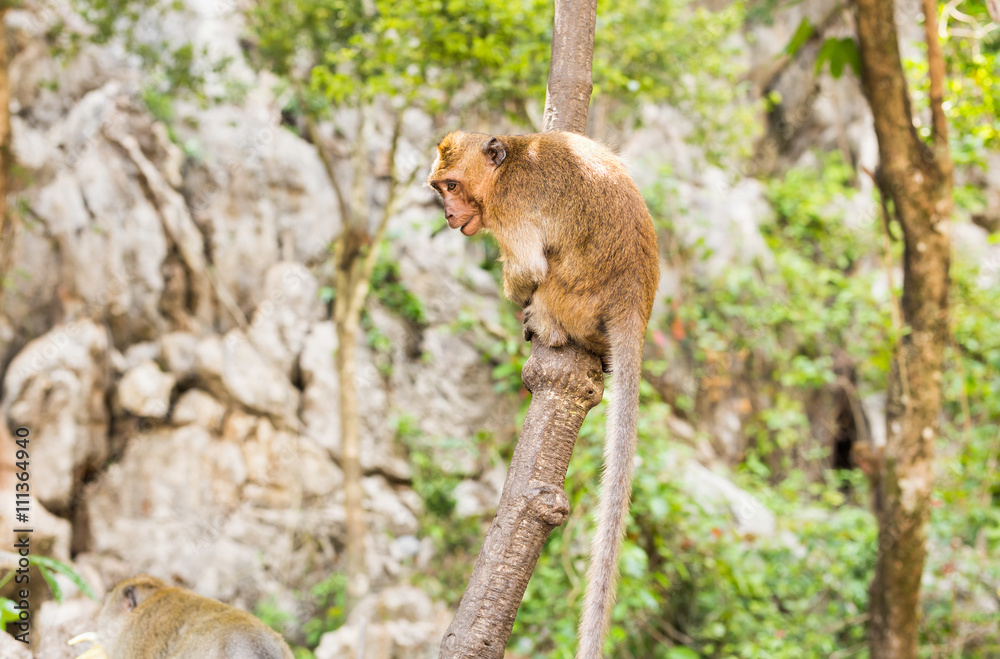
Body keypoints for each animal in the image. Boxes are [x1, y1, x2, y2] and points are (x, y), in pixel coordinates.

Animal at [427, 131, 659, 658]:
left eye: (453, 185)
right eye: (439, 188)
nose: (448, 213)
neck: (512, 156)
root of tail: (634, 301)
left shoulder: (511, 205)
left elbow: (529, 265)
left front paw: (518, 293)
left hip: (572, 298)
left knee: (548, 280)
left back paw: (545, 325)